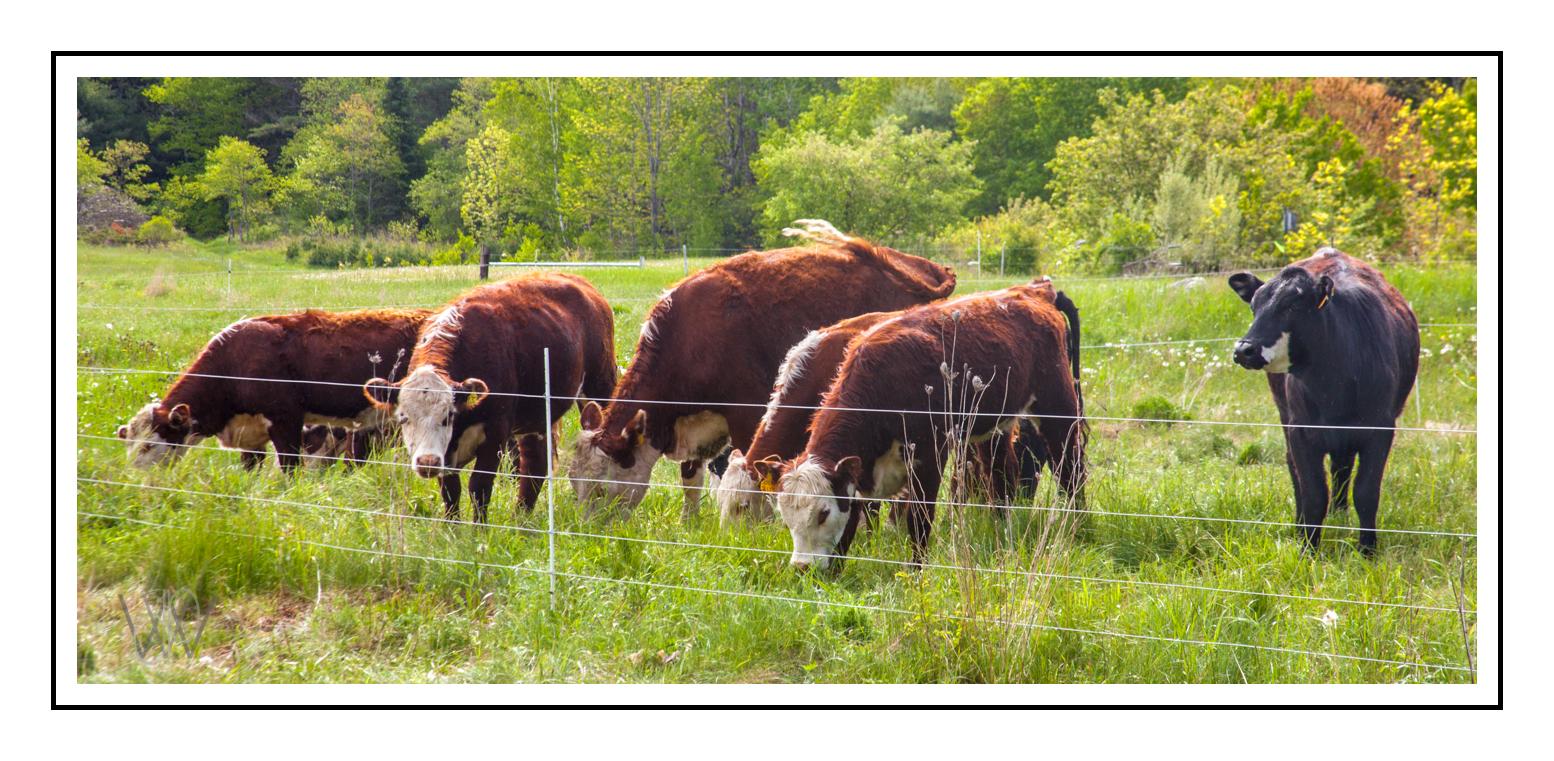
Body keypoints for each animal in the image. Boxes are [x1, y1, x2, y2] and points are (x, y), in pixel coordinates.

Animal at [117, 309, 430, 470]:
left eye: (148, 445)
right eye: (129, 445)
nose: (135, 480)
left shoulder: (285, 420)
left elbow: (290, 468)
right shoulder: (250, 436)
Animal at [363, 273, 616, 524]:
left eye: (448, 416)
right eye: (404, 418)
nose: (427, 463)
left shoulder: (496, 431)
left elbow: (479, 486)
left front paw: (479, 529)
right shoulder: (445, 452)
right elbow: (450, 489)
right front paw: (452, 528)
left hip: (599, 386)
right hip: (537, 418)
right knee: (535, 465)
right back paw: (521, 518)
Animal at [569, 220, 957, 520]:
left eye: (600, 489)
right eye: (573, 484)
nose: (590, 533)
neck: (689, 332)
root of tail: (914, 267)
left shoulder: (746, 415)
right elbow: (690, 479)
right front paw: (689, 524)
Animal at [752, 279, 1086, 572]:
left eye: (823, 513)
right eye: (785, 515)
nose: (802, 568)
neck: (883, 386)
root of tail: (1033, 292)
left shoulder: (929, 456)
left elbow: (919, 518)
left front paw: (916, 573)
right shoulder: (859, 473)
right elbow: (851, 525)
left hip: (1057, 408)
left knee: (1071, 469)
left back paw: (1080, 526)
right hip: (996, 427)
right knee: (1002, 477)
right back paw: (1002, 531)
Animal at [1227, 248, 1419, 555]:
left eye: (1292, 306)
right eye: (1254, 307)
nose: (1244, 349)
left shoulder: (1380, 429)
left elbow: (1366, 492)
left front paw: (1367, 550)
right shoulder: (1301, 431)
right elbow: (1314, 493)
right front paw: (1308, 549)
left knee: (1342, 467)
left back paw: (1340, 515)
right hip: (1286, 415)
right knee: (1297, 468)